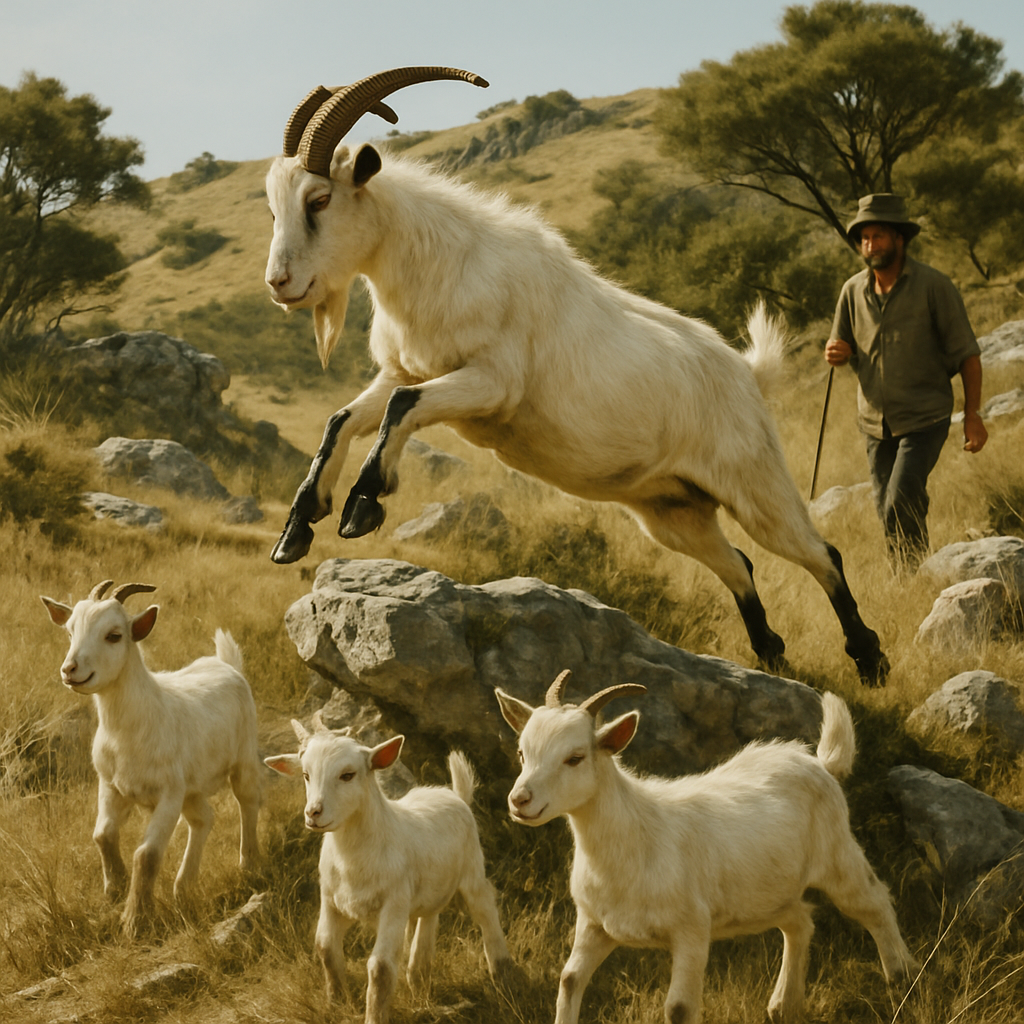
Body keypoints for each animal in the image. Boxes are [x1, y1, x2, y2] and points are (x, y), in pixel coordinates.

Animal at [41, 580, 262, 936]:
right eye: (70, 631)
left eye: (114, 635)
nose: (70, 670)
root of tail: (226, 664)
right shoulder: (111, 785)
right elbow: (103, 835)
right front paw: (115, 889)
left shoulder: (168, 795)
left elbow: (146, 855)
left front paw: (135, 920)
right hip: (192, 788)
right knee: (204, 818)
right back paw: (184, 886)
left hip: (243, 756)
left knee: (248, 801)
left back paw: (249, 864)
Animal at [263, 66, 888, 684]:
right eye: (275, 208)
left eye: (320, 199)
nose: (279, 283)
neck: (443, 262)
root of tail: (748, 374)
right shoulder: (401, 370)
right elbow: (342, 419)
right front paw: (296, 531)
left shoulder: (492, 383)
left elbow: (402, 408)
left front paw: (362, 506)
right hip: (673, 511)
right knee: (739, 562)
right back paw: (772, 656)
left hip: (754, 483)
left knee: (819, 554)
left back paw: (869, 660)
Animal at [265, 715, 515, 1023]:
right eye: (305, 775)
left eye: (348, 775)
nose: (313, 813)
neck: (354, 859)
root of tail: (455, 795)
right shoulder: (332, 900)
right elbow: (325, 947)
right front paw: (336, 1001)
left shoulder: (393, 903)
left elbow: (381, 968)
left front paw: (374, 1015)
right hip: (428, 890)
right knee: (428, 918)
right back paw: (418, 979)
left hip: (472, 870)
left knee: (485, 909)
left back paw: (503, 975)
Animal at [495, 671, 917, 1024]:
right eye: (521, 753)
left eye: (575, 758)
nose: (519, 800)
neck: (634, 833)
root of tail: (820, 763)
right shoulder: (595, 923)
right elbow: (568, 981)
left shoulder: (692, 929)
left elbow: (679, 1009)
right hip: (765, 895)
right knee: (800, 921)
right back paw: (783, 1004)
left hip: (837, 854)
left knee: (874, 900)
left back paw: (902, 977)